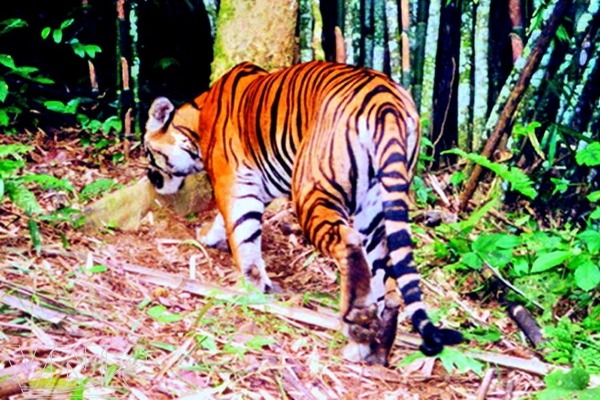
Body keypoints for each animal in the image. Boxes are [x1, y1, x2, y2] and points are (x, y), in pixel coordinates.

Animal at [145, 60, 464, 366]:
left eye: (148, 152)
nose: (151, 178)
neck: (196, 121)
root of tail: (388, 103)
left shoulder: (232, 181)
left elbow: (242, 234)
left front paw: (251, 287)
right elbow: (228, 223)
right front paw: (211, 238)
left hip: (312, 188)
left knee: (348, 244)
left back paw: (357, 322)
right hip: (375, 206)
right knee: (384, 275)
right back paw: (372, 347)